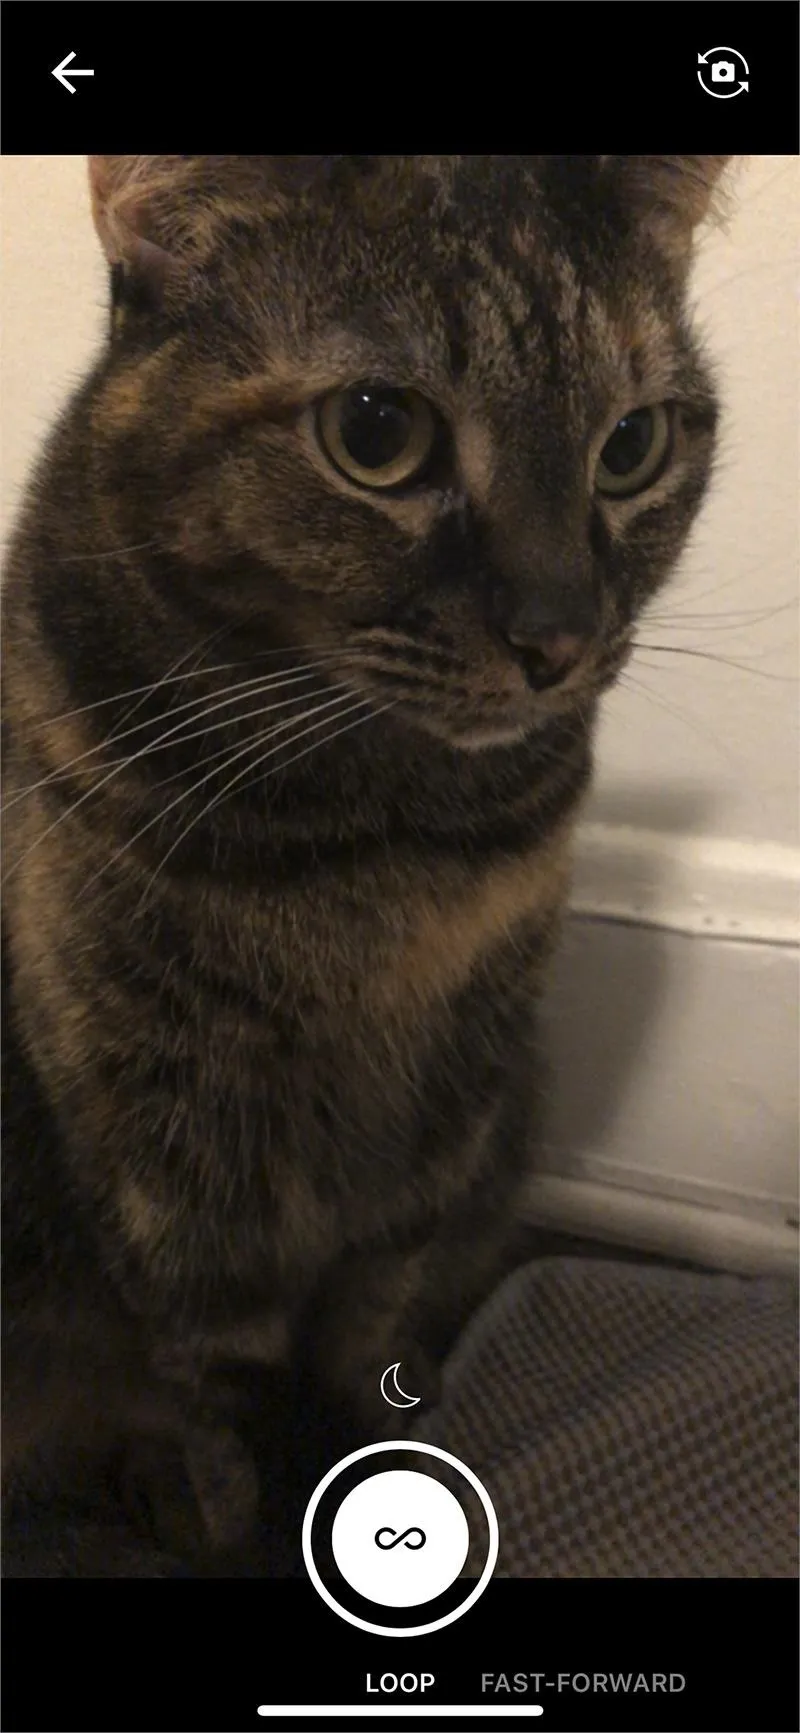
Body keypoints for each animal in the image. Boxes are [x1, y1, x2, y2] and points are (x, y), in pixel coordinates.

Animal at [1, 155, 730, 1573]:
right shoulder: (160, 1139)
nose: (560, 636)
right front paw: (234, 1508)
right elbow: (214, 1382)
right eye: (376, 431)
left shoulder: (452, 1090)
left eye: (630, 445)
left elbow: (374, 1312)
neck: (373, 842)